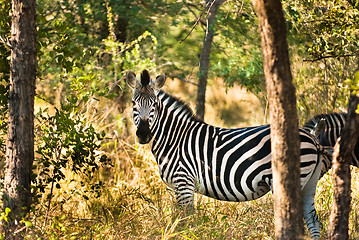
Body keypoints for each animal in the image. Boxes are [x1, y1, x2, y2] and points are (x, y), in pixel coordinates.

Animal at [126, 69, 330, 238]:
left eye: (154, 104)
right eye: (133, 103)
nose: (143, 134)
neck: (175, 138)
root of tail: (311, 137)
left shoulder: (183, 182)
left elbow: (187, 221)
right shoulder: (179, 186)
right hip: (309, 182)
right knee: (313, 221)